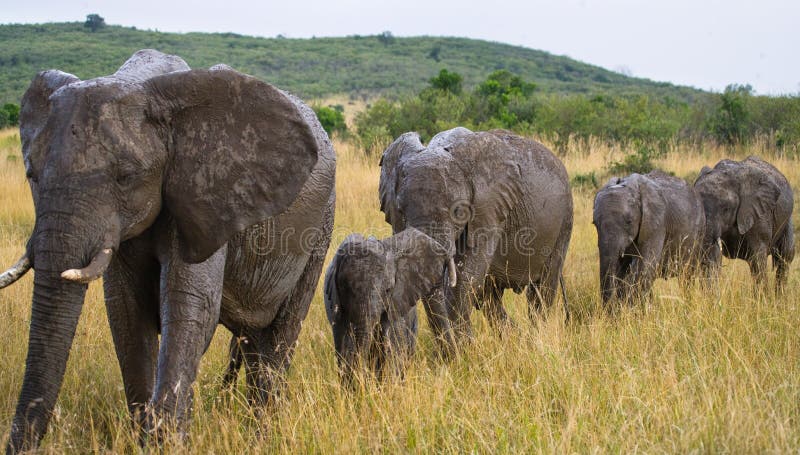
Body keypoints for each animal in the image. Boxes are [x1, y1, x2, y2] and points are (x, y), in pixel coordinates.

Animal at [0, 50, 336, 452]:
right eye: (31, 175)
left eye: (126, 177)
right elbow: (126, 312)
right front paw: (147, 438)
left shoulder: (202, 193)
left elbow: (188, 305)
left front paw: (167, 442)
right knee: (254, 342)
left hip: (321, 228)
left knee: (279, 340)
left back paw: (261, 437)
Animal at [378, 126, 572, 350]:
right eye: (400, 211)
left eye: (458, 212)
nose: (451, 354)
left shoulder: (489, 210)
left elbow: (465, 279)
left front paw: (465, 352)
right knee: (490, 299)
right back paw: (515, 339)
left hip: (564, 221)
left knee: (542, 291)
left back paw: (535, 341)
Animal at [592, 171, 704, 310]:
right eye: (595, 224)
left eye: (629, 222)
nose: (611, 311)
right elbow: (623, 272)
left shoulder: (656, 223)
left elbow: (645, 268)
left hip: (699, 231)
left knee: (687, 275)